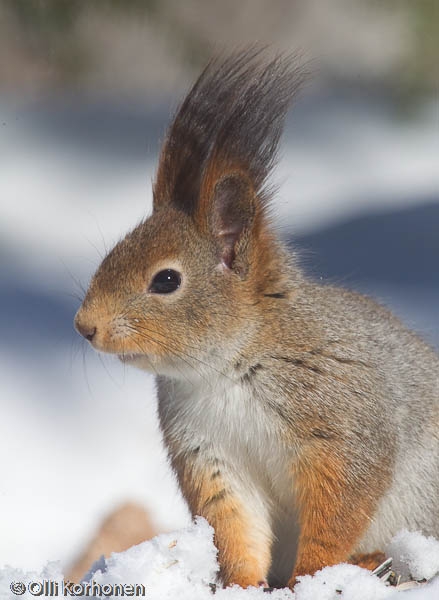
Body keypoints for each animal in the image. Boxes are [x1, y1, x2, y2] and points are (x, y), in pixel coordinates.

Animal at [75, 48, 439, 592]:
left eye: (166, 280)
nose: (84, 326)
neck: (225, 370)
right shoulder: (211, 456)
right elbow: (235, 526)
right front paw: (242, 584)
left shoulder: (343, 425)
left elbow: (338, 510)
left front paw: (310, 577)